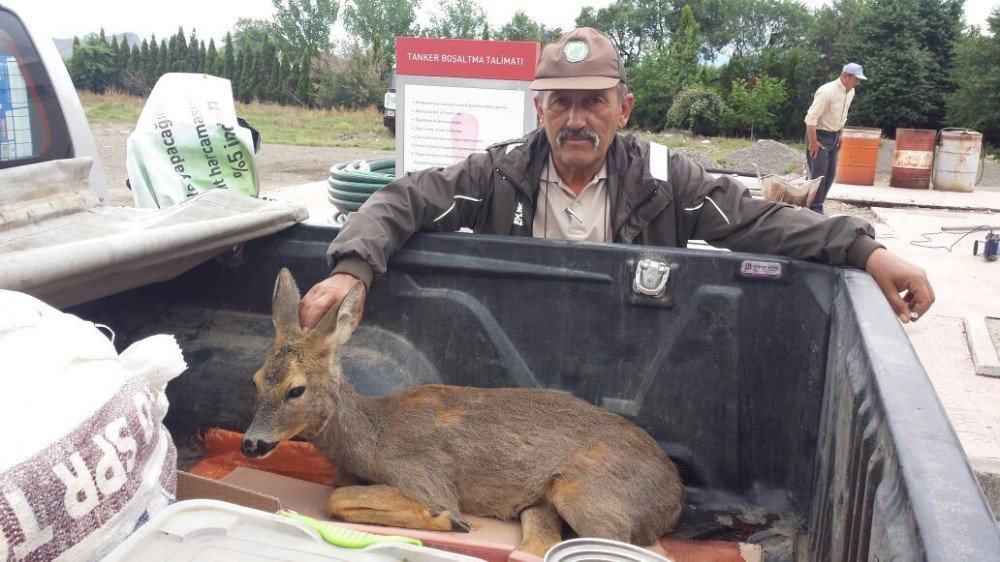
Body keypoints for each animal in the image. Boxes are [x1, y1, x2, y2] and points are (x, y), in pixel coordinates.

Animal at [242, 268, 688, 556]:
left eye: (296, 389)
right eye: (256, 379)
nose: (250, 443)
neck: (371, 439)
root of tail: (677, 495)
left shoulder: (424, 475)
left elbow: (337, 499)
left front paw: (445, 520)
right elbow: (338, 492)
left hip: (587, 491)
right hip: (543, 503)